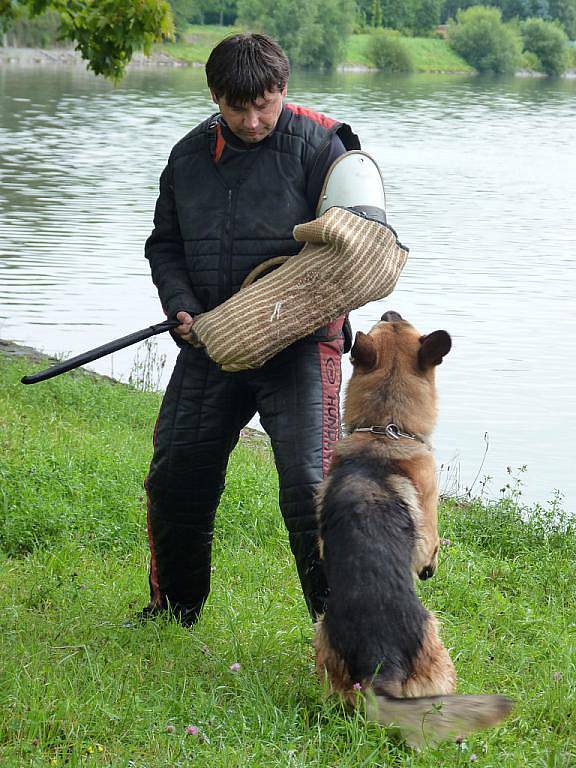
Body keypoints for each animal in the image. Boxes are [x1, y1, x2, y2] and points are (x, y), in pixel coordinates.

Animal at [316, 310, 512, 744]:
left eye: (392, 322)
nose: (390, 311)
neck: (383, 430)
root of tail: (380, 661)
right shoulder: (428, 520)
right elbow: (432, 545)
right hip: (438, 650)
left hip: (325, 645)